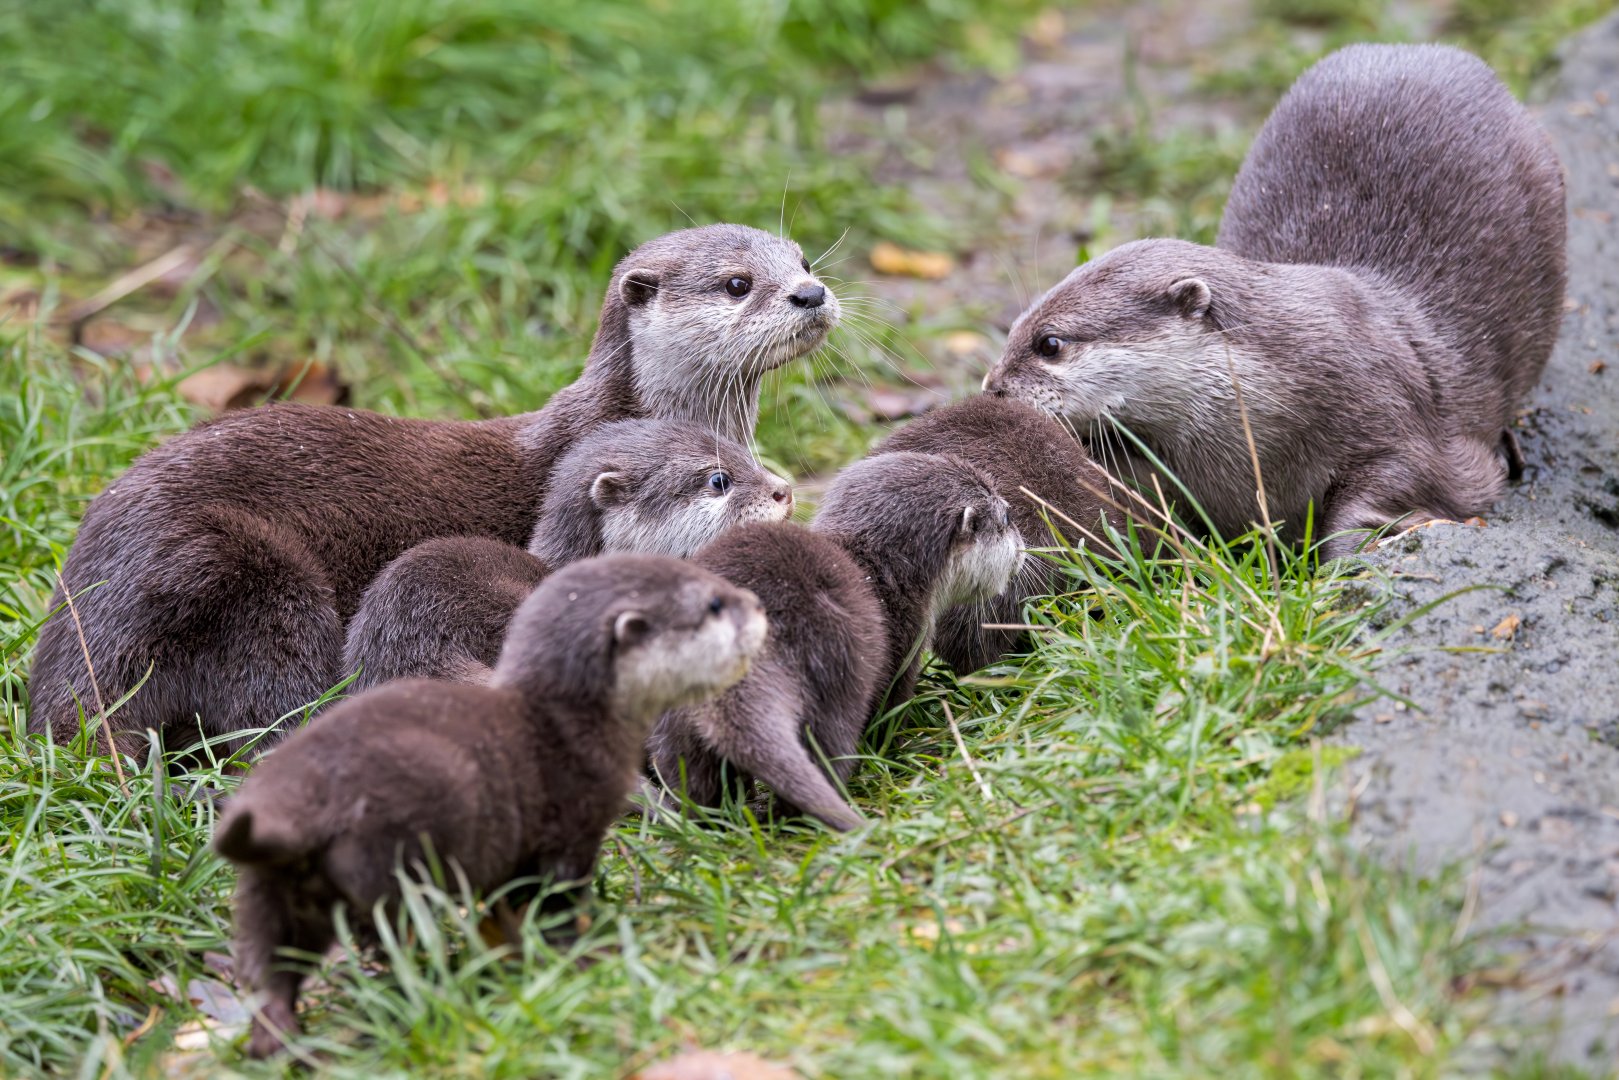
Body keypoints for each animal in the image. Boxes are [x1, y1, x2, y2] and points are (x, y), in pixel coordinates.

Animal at [215, 555, 767, 1058]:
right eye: (714, 604)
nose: (760, 604)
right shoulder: (569, 828)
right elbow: (559, 896)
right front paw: (584, 949)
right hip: (391, 865)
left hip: (266, 890)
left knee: (268, 971)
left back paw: (282, 1043)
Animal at [647, 451, 1022, 830]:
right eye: (1007, 517)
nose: (1023, 547)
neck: (883, 574)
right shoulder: (906, 643)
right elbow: (888, 712)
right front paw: (900, 746)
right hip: (836, 673)